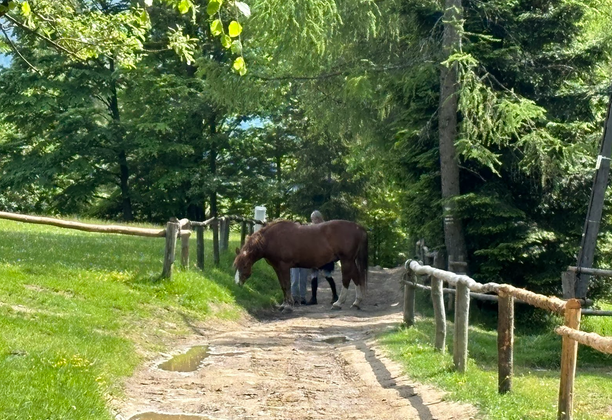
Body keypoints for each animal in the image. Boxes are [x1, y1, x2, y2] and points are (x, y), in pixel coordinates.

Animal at [233, 220, 368, 312]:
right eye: (235, 266)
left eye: (245, 265)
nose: (237, 284)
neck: (271, 239)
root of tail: (358, 227)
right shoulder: (277, 268)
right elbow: (283, 286)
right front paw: (283, 305)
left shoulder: (284, 267)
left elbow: (287, 284)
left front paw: (288, 306)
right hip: (351, 261)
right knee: (356, 277)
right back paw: (356, 302)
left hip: (346, 261)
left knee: (347, 279)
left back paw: (338, 303)